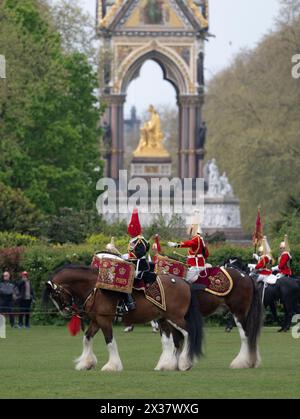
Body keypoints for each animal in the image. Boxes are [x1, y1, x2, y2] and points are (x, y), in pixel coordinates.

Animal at [44, 264, 204, 372]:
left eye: (55, 294)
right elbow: (87, 338)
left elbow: (109, 341)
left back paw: (185, 363)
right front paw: (86, 363)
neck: (95, 288)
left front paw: (112, 366)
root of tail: (185, 283)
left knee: (188, 333)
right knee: (172, 340)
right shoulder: (96, 320)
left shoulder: (104, 320)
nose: (65, 311)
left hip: (175, 317)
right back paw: (167, 365)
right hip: (164, 319)